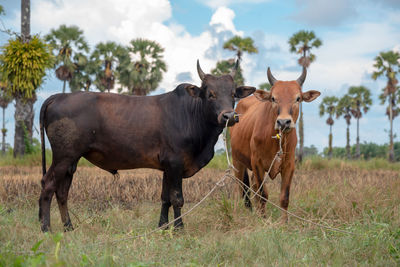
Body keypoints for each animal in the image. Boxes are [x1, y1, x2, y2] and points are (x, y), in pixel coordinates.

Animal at [39, 60, 255, 232]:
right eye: (210, 94)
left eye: (233, 94)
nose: (229, 116)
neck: (190, 114)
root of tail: (58, 96)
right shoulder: (175, 163)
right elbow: (177, 198)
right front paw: (178, 228)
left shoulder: (167, 167)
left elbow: (165, 198)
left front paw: (162, 226)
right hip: (63, 157)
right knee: (48, 185)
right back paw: (46, 228)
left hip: (71, 161)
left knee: (62, 192)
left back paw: (68, 227)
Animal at [230, 67, 320, 222]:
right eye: (273, 98)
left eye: (298, 98)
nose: (283, 122)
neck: (276, 140)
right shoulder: (257, 163)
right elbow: (262, 194)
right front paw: (263, 219)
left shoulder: (289, 165)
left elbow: (284, 197)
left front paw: (284, 221)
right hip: (237, 162)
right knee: (242, 189)